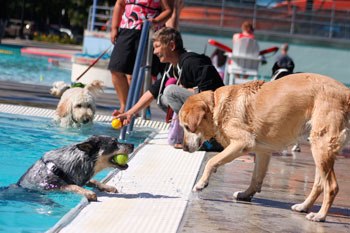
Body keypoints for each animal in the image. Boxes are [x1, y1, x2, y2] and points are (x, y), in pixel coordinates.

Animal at [179, 73, 348, 222]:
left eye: (186, 127)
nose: (184, 148)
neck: (216, 105)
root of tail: (346, 92)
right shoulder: (263, 152)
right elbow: (256, 178)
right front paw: (245, 194)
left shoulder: (242, 142)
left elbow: (212, 161)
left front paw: (201, 183)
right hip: (319, 149)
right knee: (320, 184)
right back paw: (303, 206)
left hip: (321, 145)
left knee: (331, 186)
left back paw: (320, 216)